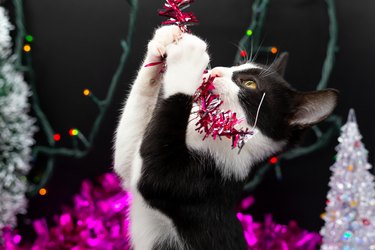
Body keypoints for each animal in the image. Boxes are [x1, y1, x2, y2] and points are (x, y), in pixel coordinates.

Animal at [114, 25, 338, 250]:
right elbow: (126, 159)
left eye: (250, 83)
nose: (216, 70)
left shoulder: (201, 184)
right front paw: (165, 38)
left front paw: (190, 56)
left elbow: (154, 177)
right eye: (237, 66)